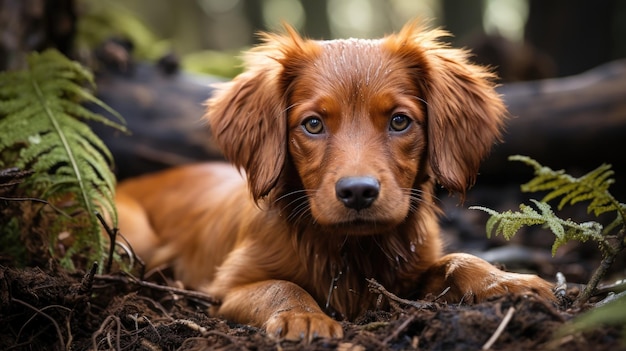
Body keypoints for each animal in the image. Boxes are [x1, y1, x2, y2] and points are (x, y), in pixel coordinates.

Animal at [114, 23, 552, 342]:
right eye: (312, 124)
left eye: (399, 121)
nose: (357, 192)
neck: (348, 249)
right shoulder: (224, 289)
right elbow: (279, 285)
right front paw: (302, 317)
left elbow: (459, 259)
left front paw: (504, 281)